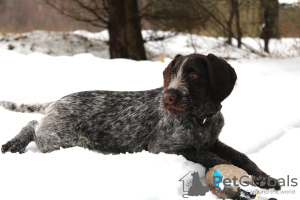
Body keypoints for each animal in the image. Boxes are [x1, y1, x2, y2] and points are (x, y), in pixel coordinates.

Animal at [1, 53, 280, 191]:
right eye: (172, 73)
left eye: (193, 74)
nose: (168, 96)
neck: (201, 117)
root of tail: (57, 101)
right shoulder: (164, 147)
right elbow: (213, 158)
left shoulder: (213, 140)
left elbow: (242, 157)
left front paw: (265, 178)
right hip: (58, 139)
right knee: (33, 125)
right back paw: (14, 144)